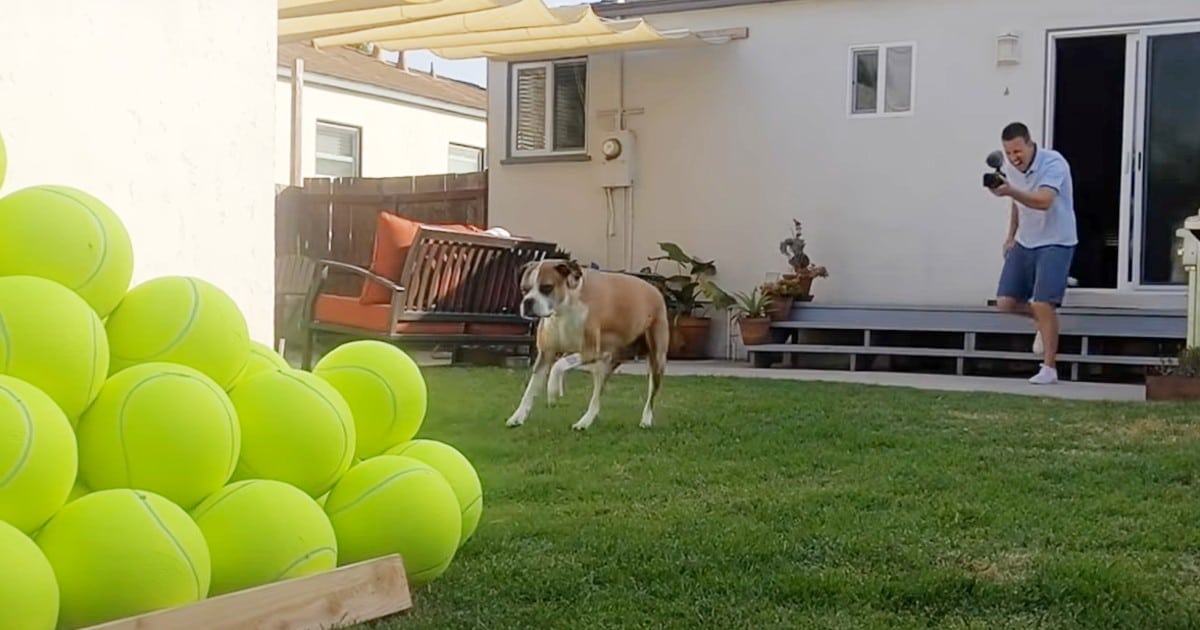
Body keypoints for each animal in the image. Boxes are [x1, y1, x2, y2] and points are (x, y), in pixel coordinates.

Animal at [504, 258, 672, 429]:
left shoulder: (590, 352)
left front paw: (552, 392)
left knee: (651, 395)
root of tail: (655, 289)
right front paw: (517, 417)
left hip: (657, 361)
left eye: (547, 288)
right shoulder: (546, 355)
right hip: (603, 367)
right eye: (524, 290)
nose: (528, 302)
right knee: (596, 399)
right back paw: (584, 422)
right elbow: (530, 390)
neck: (564, 310)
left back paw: (646, 419)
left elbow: (558, 366)